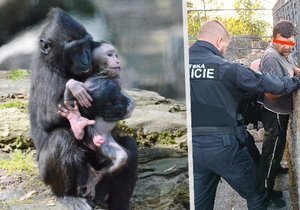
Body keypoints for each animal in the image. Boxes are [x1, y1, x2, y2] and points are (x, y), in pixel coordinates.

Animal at [58, 41, 135, 199]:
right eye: (110, 55)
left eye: (116, 55)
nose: (117, 60)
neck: (101, 75)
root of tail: (93, 141)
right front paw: (73, 86)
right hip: (92, 135)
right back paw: (76, 122)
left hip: (105, 143)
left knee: (121, 158)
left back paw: (95, 177)